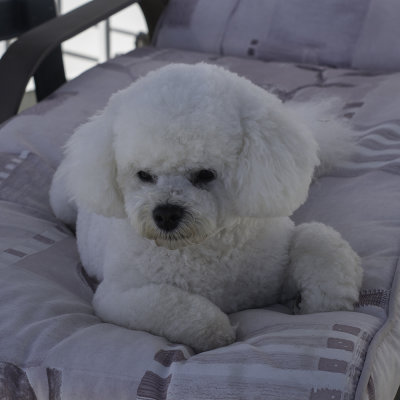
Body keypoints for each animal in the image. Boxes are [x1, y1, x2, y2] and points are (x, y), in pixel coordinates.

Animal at [49, 63, 362, 354]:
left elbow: (317, 238)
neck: (204, 248)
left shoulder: (273, 270)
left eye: (205, 174)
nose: (165, 215)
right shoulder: (115, 298)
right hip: (61, 201)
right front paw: (217, 331)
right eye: (144, 175)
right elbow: (170, 304)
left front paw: (325, 299)